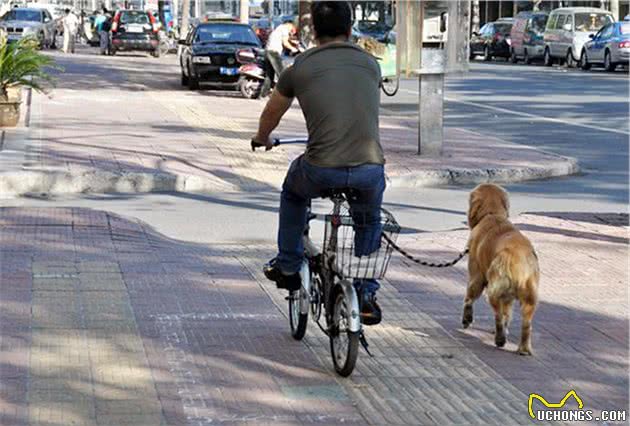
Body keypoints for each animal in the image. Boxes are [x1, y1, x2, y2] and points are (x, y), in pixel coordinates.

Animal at [462, 185, 540, 354]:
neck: (493, 214)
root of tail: (518, 259)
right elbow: (508, 315)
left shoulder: (476, 275)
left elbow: (469, 298)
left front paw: (466, 319)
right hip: (529, 297)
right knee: (525, 324)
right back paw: (524, 348)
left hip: (494, 289)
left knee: (499, 317)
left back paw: (500, 339)